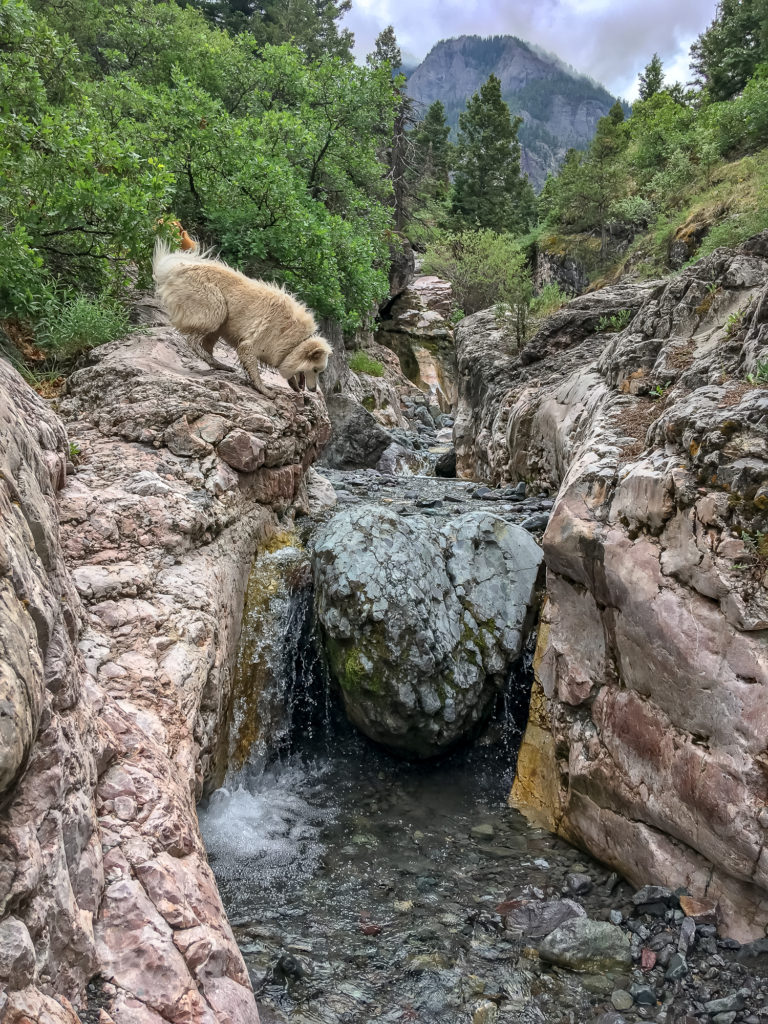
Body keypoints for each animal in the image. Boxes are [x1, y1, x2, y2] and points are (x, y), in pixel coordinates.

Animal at [151, 237, 331, 397]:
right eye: (315, 370)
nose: (313, 390)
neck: (295, 341)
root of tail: (174, 267)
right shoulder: (252, 344)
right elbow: (253, 368)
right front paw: (264, 390)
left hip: (220, 323)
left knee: (206, 345)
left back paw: (219, 365)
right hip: (216, 308)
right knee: (193, 341)